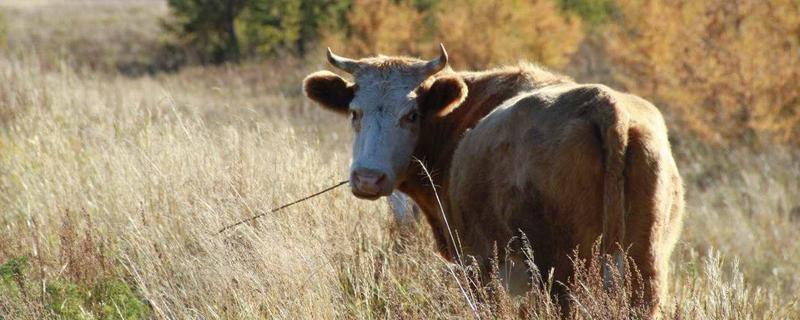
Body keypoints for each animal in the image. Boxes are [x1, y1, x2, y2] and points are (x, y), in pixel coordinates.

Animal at [304, 45, 684, 318]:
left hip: (558, 272)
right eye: (355, 112)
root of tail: (602, 104)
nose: (368, 178)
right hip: (643, 271)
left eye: (411, 115)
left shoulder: (477, 264)